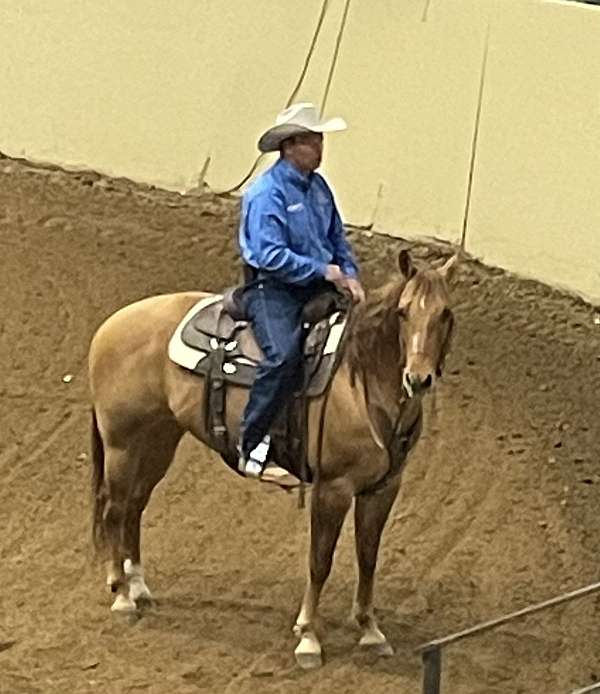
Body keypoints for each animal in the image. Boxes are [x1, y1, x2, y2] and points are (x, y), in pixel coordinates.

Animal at [88, 249, 454, 668]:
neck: (358, 381)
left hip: (158, 439)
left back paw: (138, 586)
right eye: (404, 312)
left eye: (445, 313)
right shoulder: (333, 488)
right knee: (114, 508)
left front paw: (369, 629)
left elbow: (368, 556)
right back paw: (121, 596)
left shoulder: (383, 488)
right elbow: (320, 561)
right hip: (121, 443)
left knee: (134, 506)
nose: (418, 379)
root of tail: (110, 326)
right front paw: (308, 635)